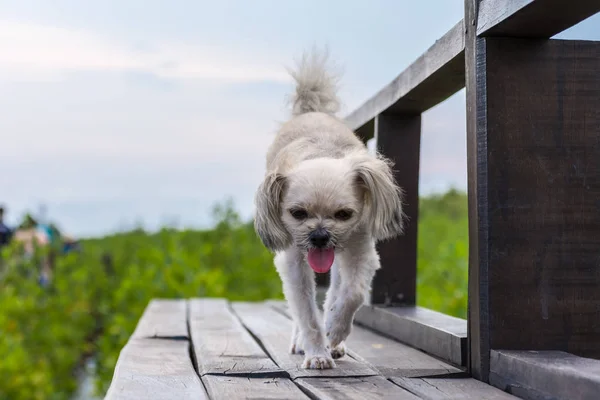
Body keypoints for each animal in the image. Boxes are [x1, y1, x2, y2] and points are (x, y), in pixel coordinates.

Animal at [253, 48, 404, 370]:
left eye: (344, 214)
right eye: (297, 213)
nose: (320, 237)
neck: (320, 153)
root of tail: (310, 110)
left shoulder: (360, 251)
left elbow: (353, 293)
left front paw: (335, 327)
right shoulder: (294, 264)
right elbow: (306, 313)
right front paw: (316, 353)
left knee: (336, 288)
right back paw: (303, 342)